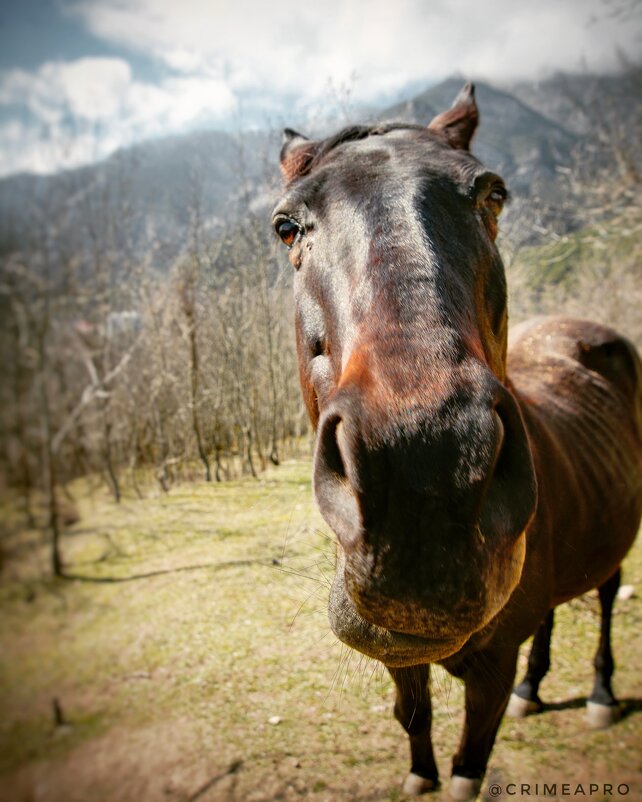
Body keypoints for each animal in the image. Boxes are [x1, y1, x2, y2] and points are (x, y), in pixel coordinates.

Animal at [272, 84, 640, 796]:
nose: (427, 468)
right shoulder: (400, 649)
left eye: (492, 195)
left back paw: (603, 695)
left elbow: (472, 759)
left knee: (607, 598)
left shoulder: (491, 668)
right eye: (286, 227)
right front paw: (420, 773)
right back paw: (535, 688)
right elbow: (413, 719)